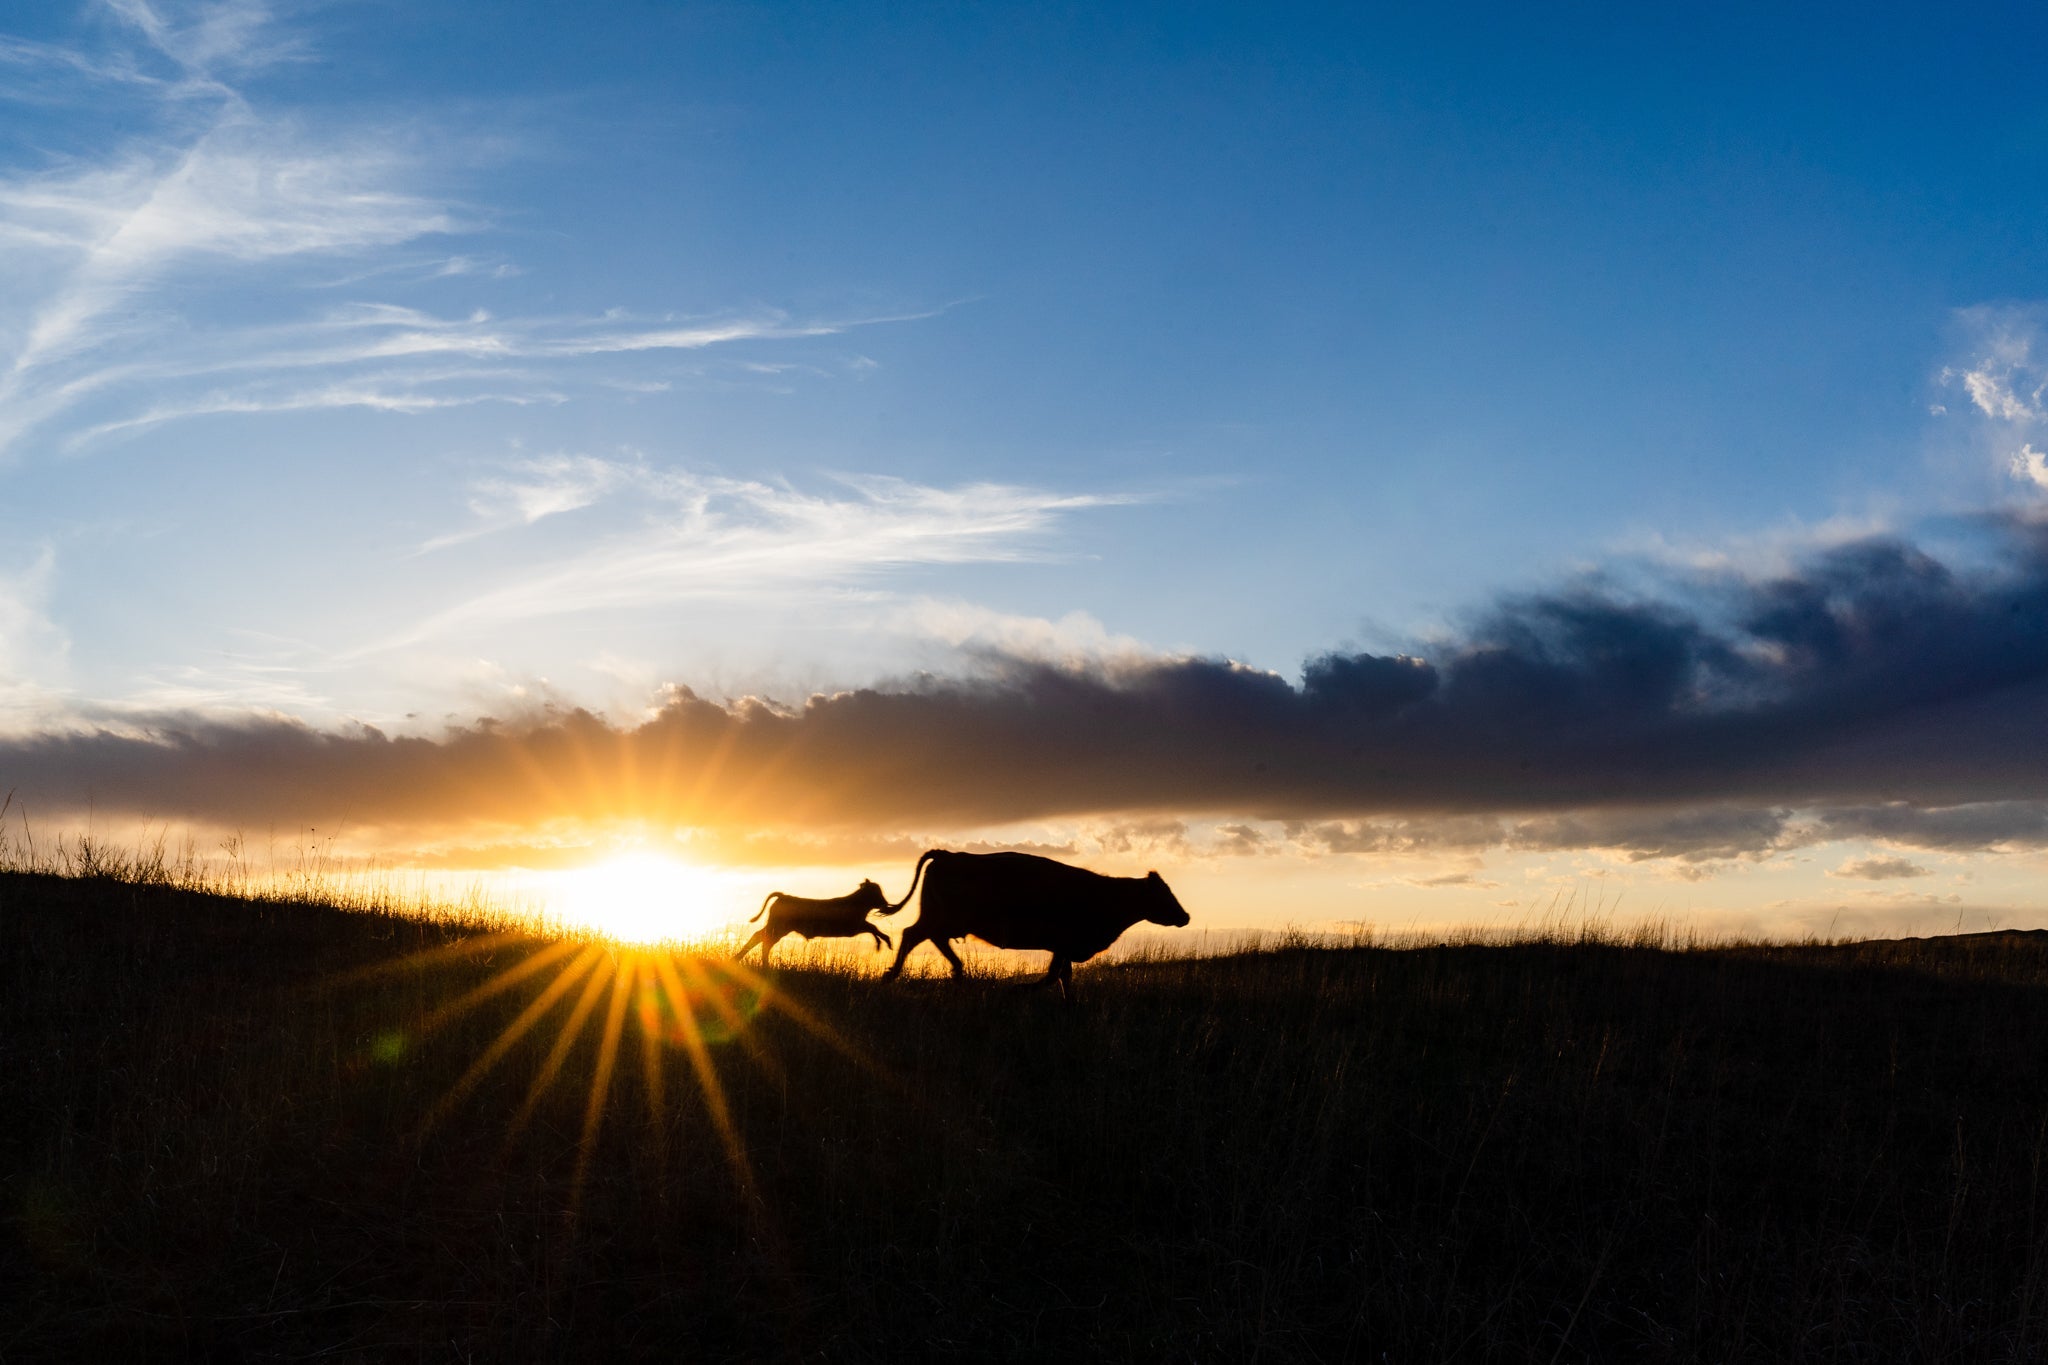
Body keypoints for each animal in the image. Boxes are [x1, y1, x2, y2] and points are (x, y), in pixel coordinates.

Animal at [737, 879, 894, 964]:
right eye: (876, 892)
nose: (885, 903)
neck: (856, 903)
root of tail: (784, 896)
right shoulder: (854, 927)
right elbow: (873, 927)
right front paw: (885, 942)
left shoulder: (857, 926)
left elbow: (873, 928)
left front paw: (882, 943)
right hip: (777, 928)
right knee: (763, 941)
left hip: (776, 928)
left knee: (760, 938)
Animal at [879, 849, 1190, 997]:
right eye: (1164, 893)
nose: (1185, 917)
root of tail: (947, 855)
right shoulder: (1064, 943)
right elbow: (1053, 976)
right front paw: (1018, 989)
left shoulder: (1063, 948)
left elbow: (1063, 976)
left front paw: (1070, 1004)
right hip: (942, 918)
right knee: (913, 935)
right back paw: (894, 975)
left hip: (940, 919)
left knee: (925, 937)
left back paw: (956, 970)